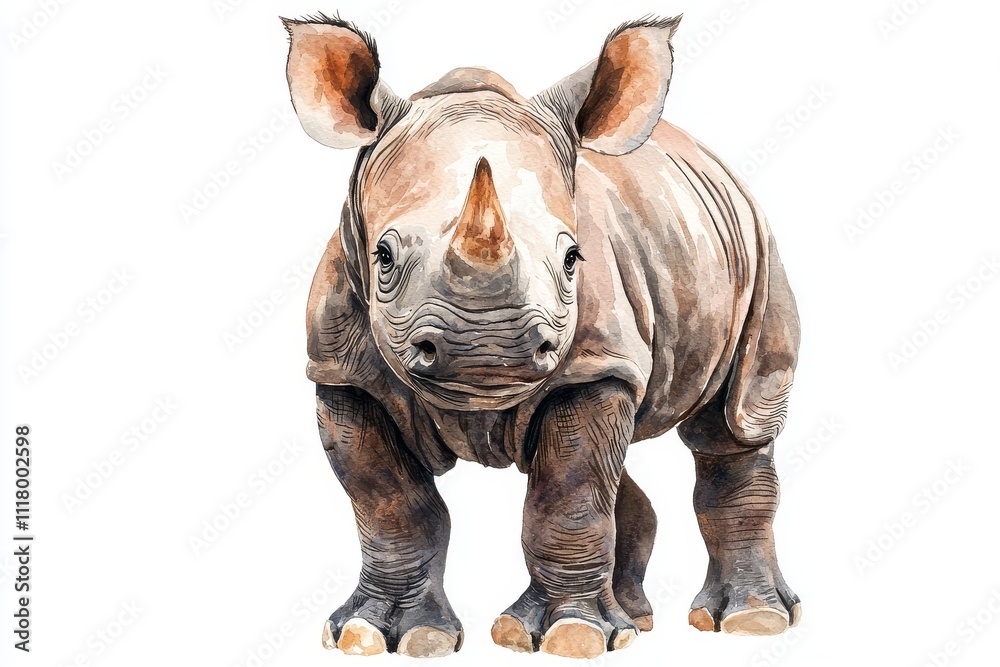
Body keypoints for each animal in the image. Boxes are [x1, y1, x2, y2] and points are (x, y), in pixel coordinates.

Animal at [282, 12, 801, 659]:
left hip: (758, 244)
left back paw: (747, 620)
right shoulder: (342, 373)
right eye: (383, 256)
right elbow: (389, 503)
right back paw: (636, 621)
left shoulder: (593, 362)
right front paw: (379, 634)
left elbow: (568, 496)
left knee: (732, 424)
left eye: (573, 258)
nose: (487, 351)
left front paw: (570, 635)